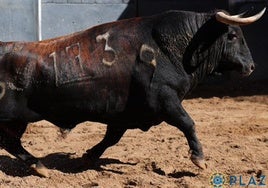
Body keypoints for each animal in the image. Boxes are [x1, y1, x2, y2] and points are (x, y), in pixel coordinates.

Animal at [0, 8, 264, 176]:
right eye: (232, 36)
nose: (251, 67)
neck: (174, 47)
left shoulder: (123, 115)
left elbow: (111, 138)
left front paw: (89, 156)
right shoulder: (165, 99)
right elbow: (188, 123)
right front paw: (199, 159)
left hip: (17, 121)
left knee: (11, 143)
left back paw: (39, 167)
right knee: (10, 142)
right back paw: (39, 167)